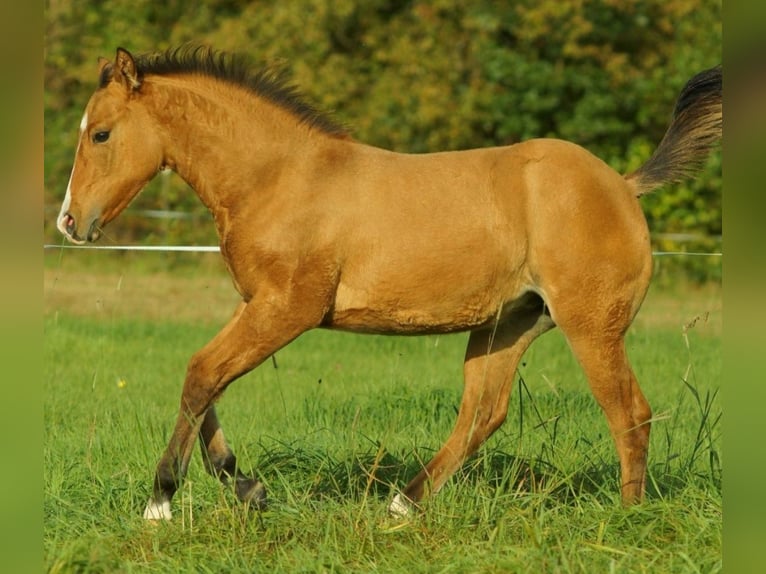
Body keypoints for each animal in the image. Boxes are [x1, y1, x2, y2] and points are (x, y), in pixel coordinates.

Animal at [57, 46, 724, 520]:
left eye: (101, 134)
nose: (69, 222)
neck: (279, 177)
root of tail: (624, 186)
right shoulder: (257, 305)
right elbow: (207, 380)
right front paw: (247, 487)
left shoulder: (287, 309)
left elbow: (201, 374)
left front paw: (161, 500)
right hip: (509, 324)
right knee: (483, 413)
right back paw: (403, 504)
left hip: (591, 327)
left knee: (629, 412)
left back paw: (626, 519)